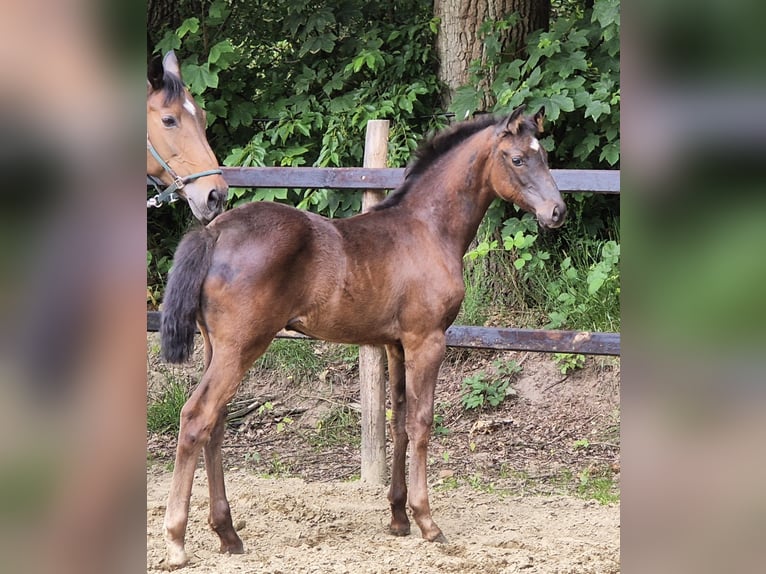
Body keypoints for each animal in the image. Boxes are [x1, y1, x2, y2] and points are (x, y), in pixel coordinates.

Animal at [159, 107, 568, 568]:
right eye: (518, 159)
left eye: (543, 154)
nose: (557, 211)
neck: (427, 228)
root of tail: (214, 232)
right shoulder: (427, 341)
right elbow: (422, 423)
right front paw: (427, 521)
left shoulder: (395, 344)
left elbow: (399, 421)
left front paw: (398, 517)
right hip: (242, 346)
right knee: (197, 417)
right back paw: (176, 540)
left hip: (218, 348)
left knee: (216, 423)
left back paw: (228, 534)